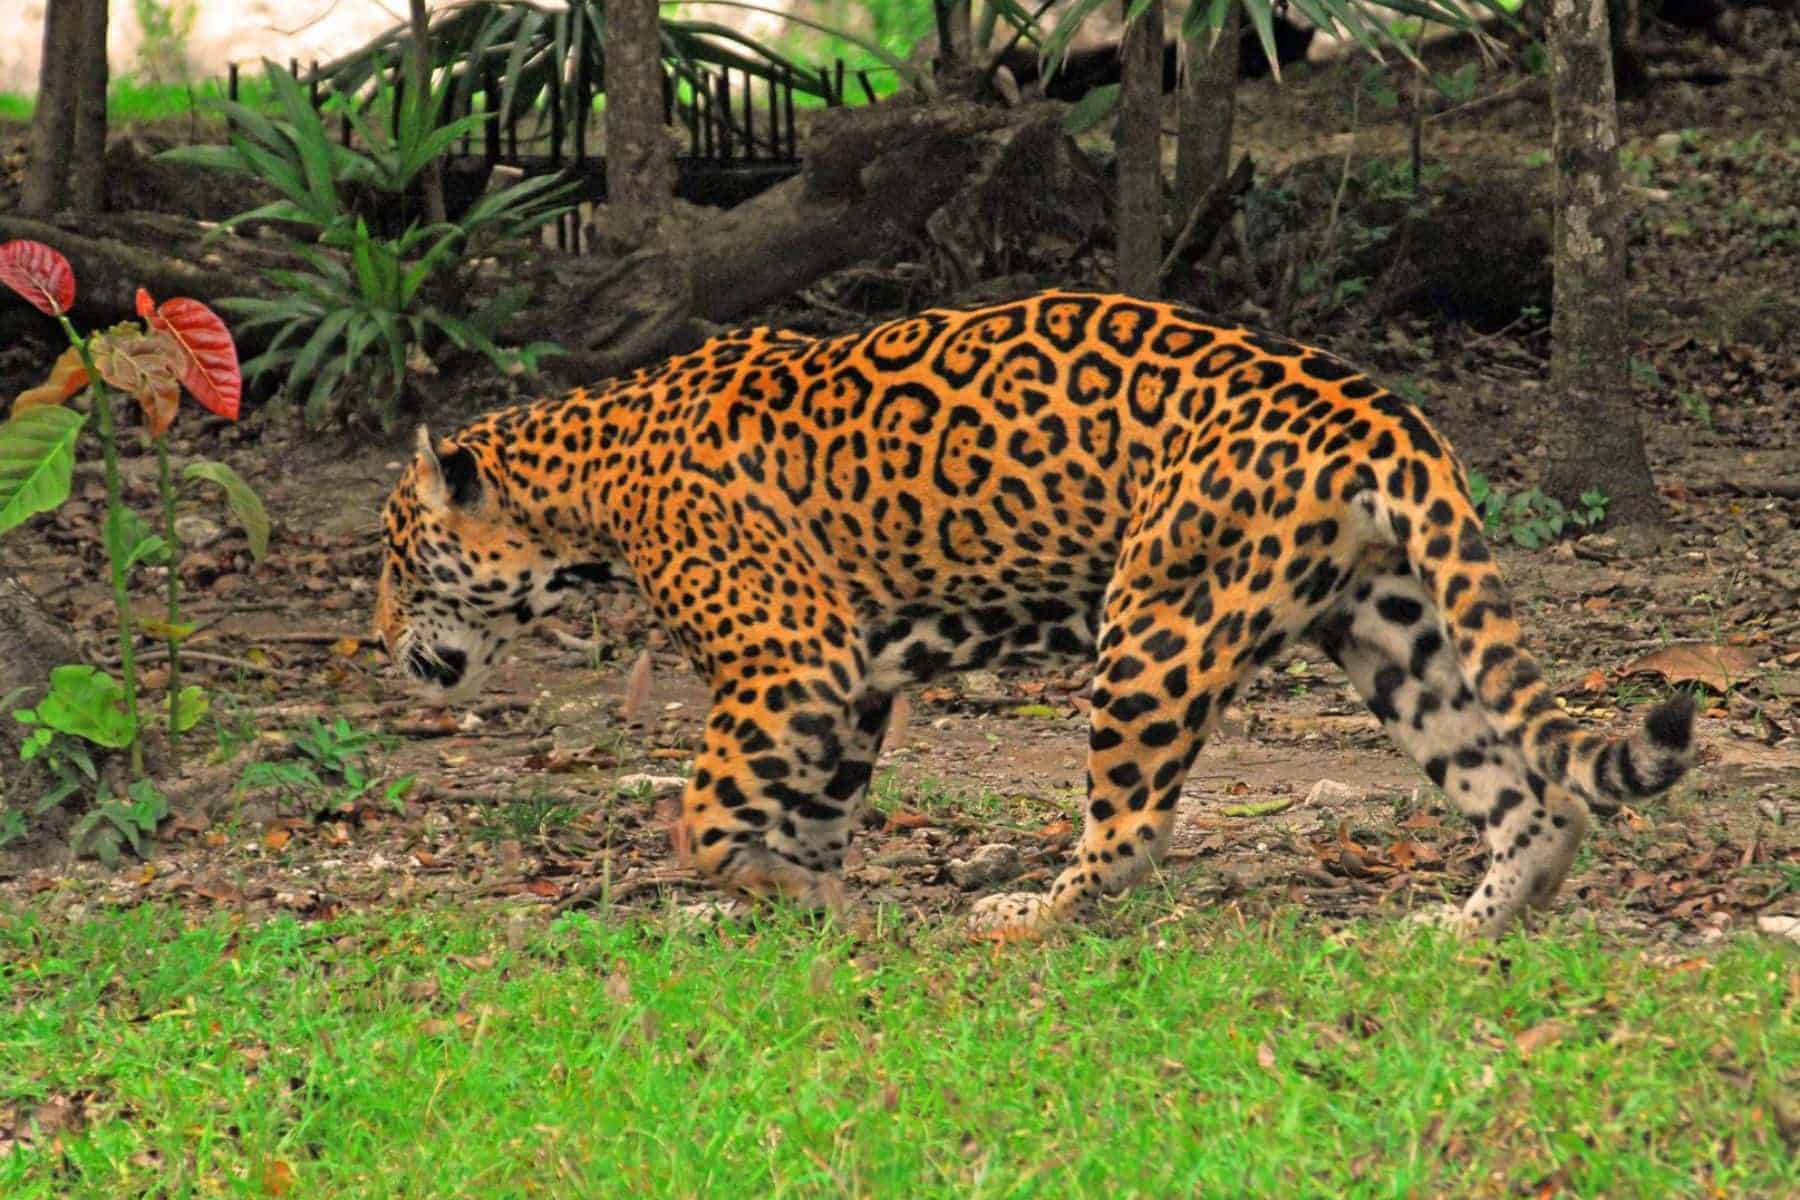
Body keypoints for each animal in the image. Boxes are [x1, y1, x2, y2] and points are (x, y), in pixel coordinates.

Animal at [373, 289, 1695, 937]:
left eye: (394, 559)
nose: (380, 644)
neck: (584, 493)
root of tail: (1377, 410)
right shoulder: (851, 679)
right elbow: (812, 811)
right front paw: (806, 903)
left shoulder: (790, 662)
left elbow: (701, 818)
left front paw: (777, 891)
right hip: (1393, 626)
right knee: (1528, 797)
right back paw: (1465, 930)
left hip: (1155, 625)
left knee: (1132, 830)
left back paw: (1023, 917)